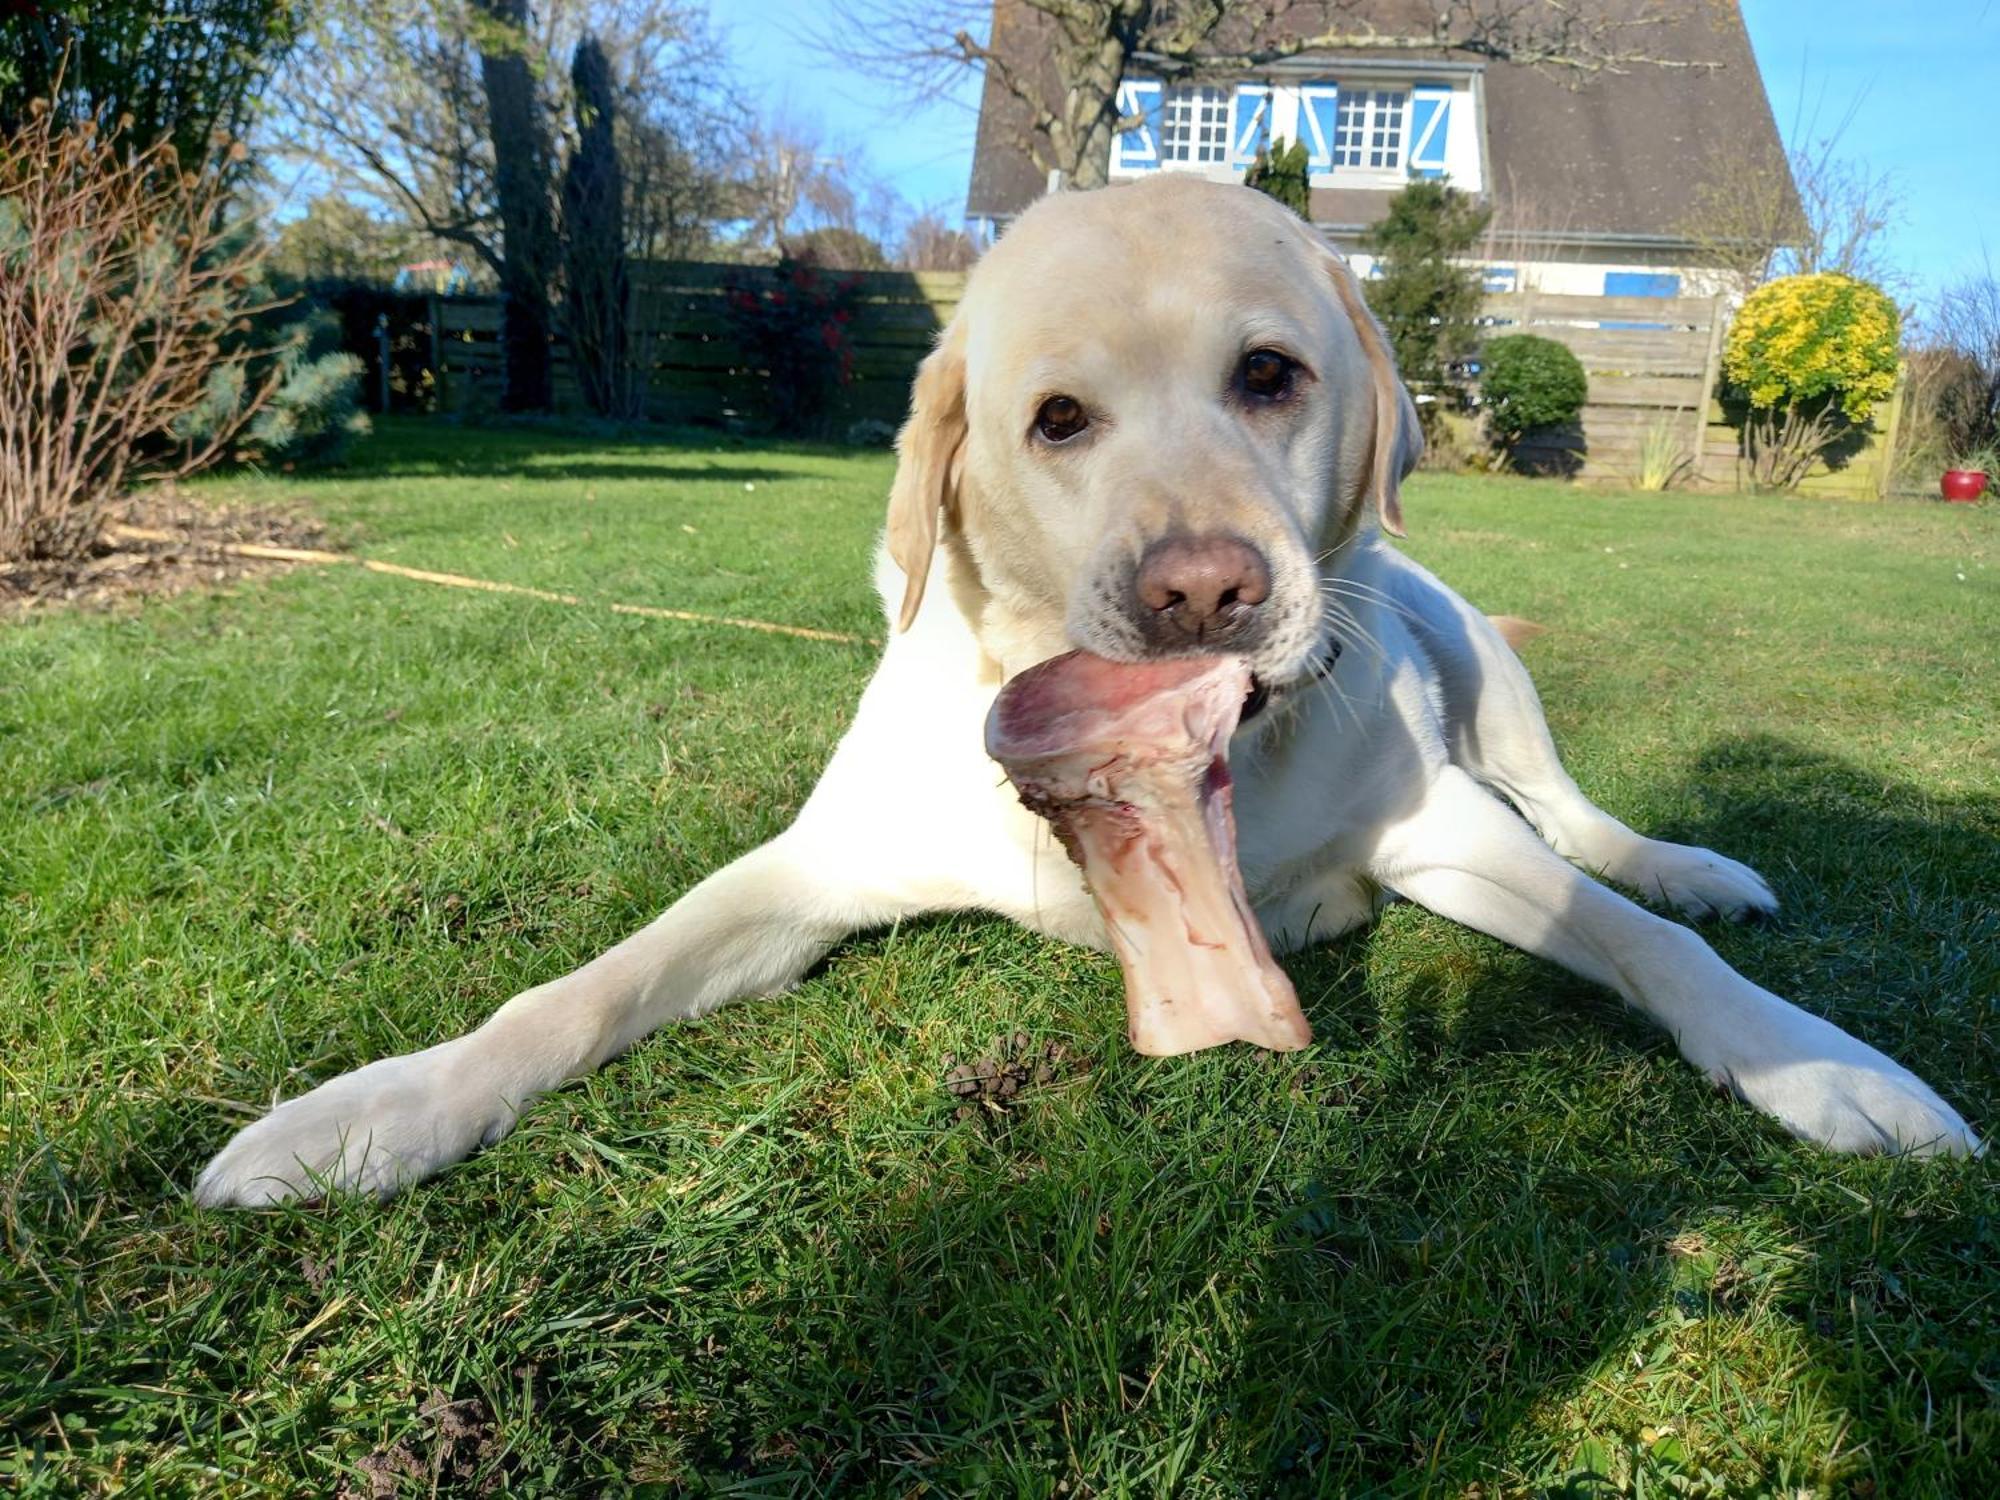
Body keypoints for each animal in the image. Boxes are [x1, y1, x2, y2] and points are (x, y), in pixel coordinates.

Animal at [195, 176, 1976, 1208]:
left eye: (1270, 376)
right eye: (1058, 420)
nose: (1206, 593)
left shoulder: (1449, 835)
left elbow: (1637, 942)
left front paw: (1829, 1070)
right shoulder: (809, 872)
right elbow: (576, 992)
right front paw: (371, 1113)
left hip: (1483, 663)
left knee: (1584, 820)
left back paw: (1688, 859)